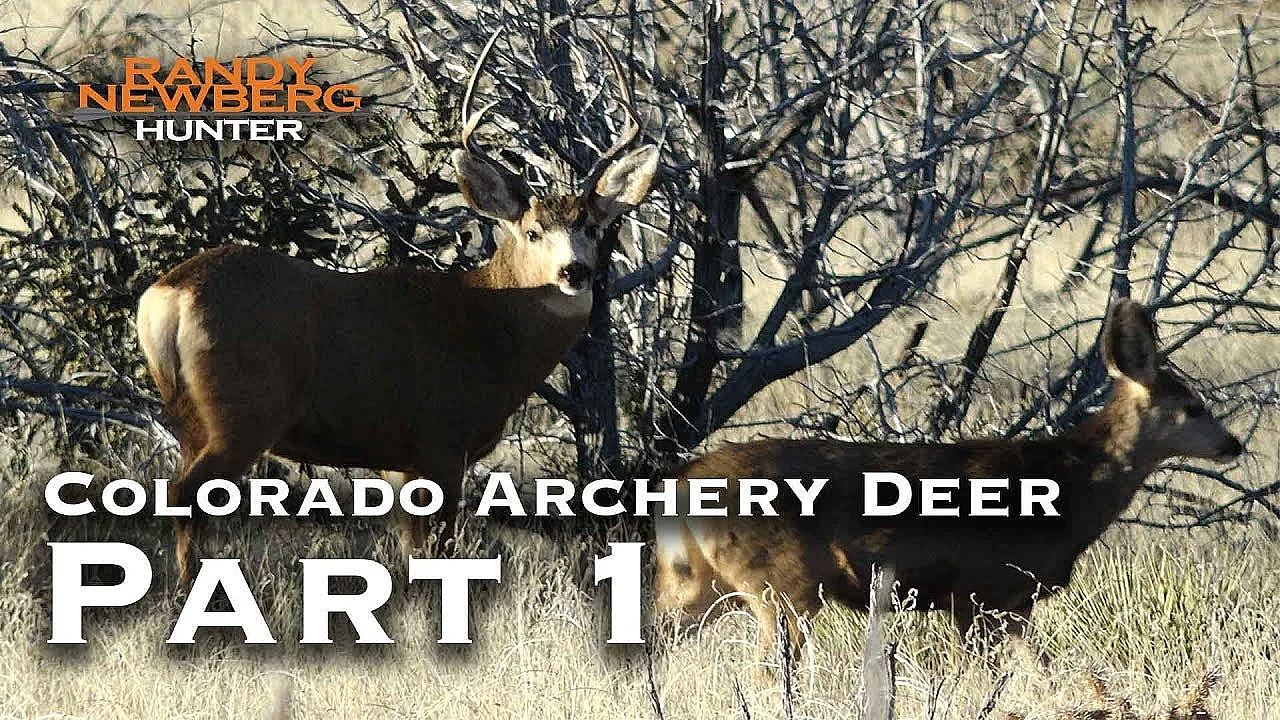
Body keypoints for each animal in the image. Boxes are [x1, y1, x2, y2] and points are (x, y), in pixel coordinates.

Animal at [136, 30, 660, 585]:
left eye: (594, 228)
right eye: (534, 231)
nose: (573, 272)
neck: (490, 327)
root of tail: (167, 297)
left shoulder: (396, 460)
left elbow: (412, 550)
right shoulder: (442, 442)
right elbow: (440, 550)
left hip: (190, 418)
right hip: (243, 411)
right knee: (184, 496)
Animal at [655, 300, 1243, 665]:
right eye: (1193, 406)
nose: (1233, 444)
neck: (1072, 486)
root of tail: (680, 487)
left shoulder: (1004, 601)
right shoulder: (984, 589)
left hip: (700, 582)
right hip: (781, 582)